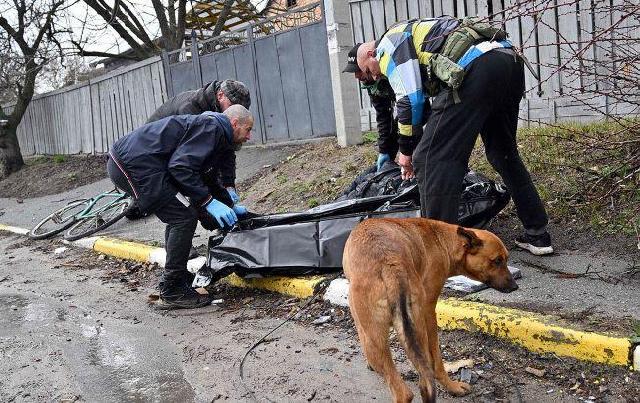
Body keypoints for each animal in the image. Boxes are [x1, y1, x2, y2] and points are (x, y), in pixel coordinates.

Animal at [342, 219, 516, 402]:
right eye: (497, 260)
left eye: (504, 260)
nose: (515, 287)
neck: (443, 241)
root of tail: (390, 264)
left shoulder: (428, 311)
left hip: (390, 334)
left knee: (406, 388)